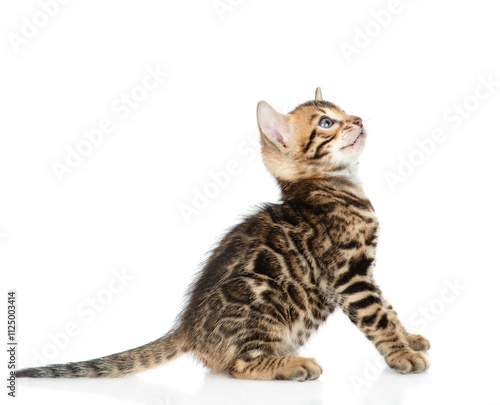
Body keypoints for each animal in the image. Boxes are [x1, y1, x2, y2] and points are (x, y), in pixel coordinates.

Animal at [15, 89, 430, 382]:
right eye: (327, 122)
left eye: (344, 112)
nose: (356, 118)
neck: (336, 187)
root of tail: (187, 328)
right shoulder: (350, 276)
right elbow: (377, 317)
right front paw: (402, 355)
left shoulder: (366, 271)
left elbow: (389, 309)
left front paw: (408, 339)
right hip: (266, 305)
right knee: (240, 365)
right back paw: (292, 365)